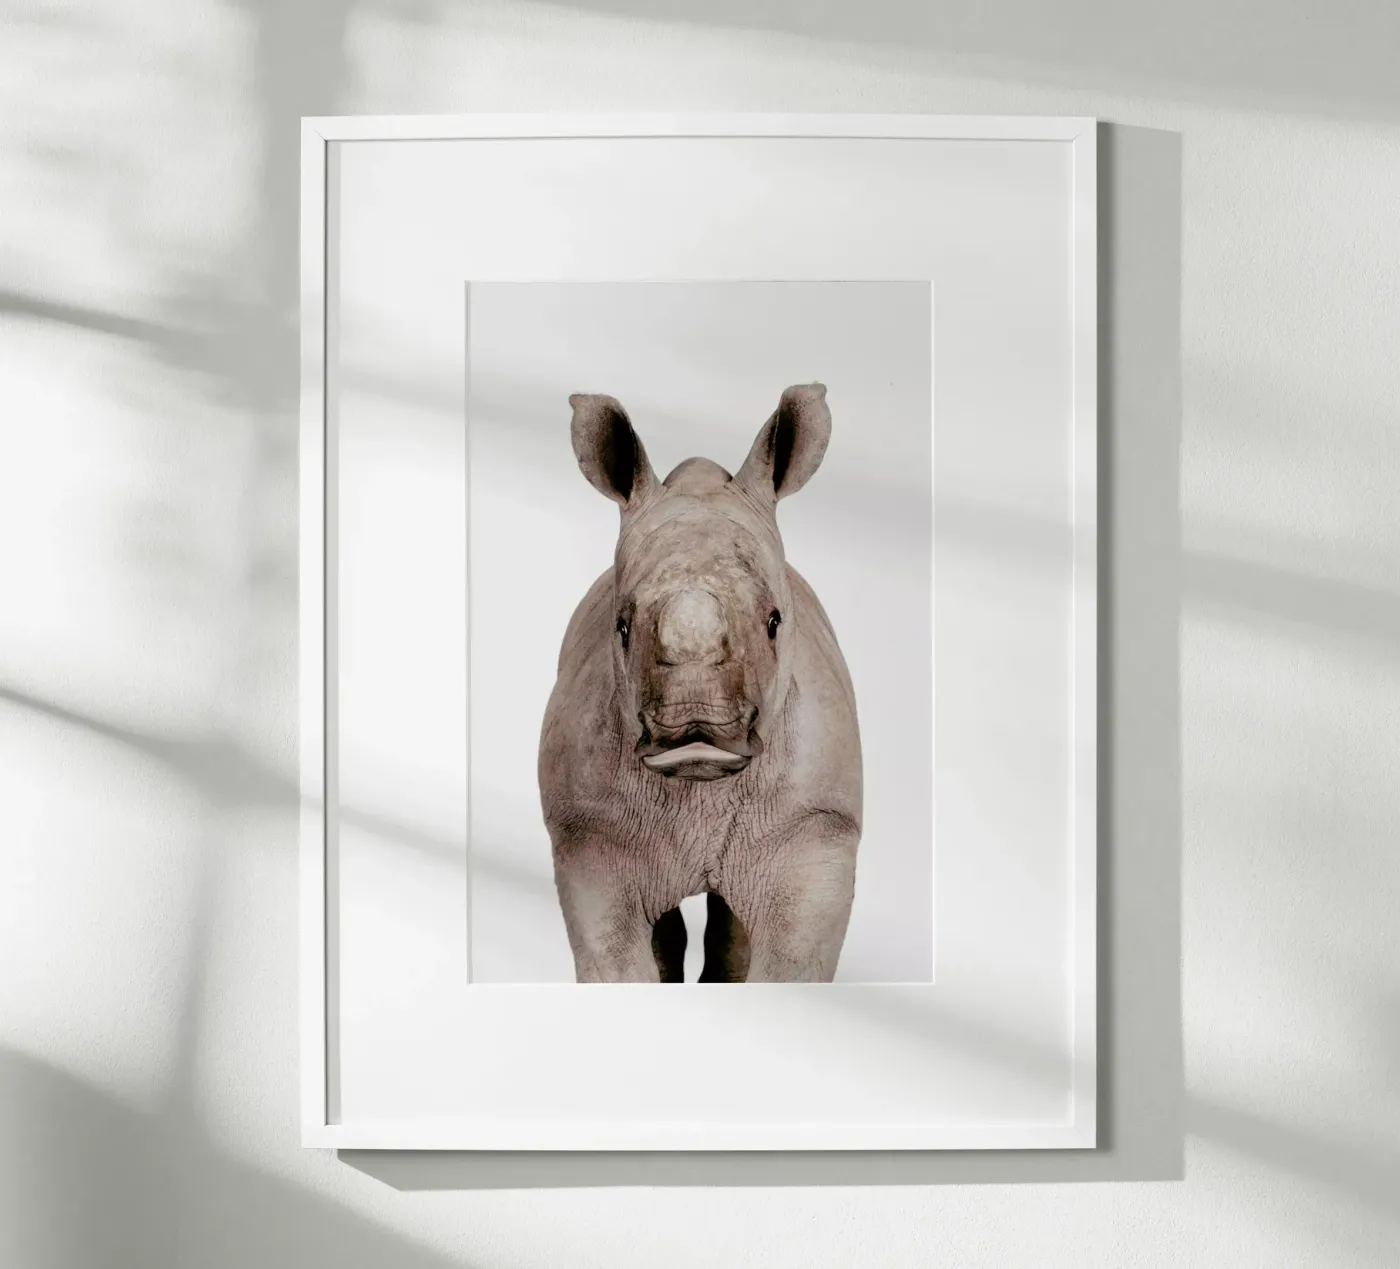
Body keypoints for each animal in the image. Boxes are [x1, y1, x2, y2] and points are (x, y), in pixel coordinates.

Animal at [538, 384, 862, 983]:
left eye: (775, 621)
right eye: (620, 628)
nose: (696, 730)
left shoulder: (814, 830)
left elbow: (790, 962)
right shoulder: (589, 834)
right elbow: (616, 960)